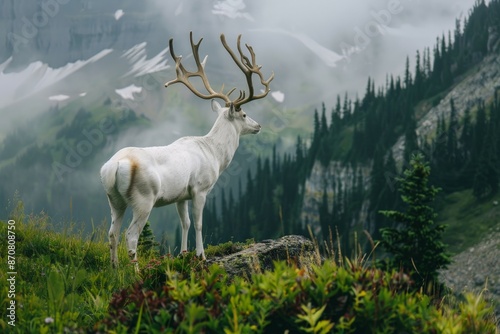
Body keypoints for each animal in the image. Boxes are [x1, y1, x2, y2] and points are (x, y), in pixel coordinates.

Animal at [100, 31, 274, 266]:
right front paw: (201, 255)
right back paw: (135, 269)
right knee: (131, 235)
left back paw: (115, 268)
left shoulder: (180, 195)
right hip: (143, 198)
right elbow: (199, 223)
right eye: (244, 114)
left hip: (113, 199)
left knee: (112, 233)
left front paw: (183, 253)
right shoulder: (200, 188)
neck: (214, 155)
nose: (258, 126)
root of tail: (113, 167)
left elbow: (186, 223)